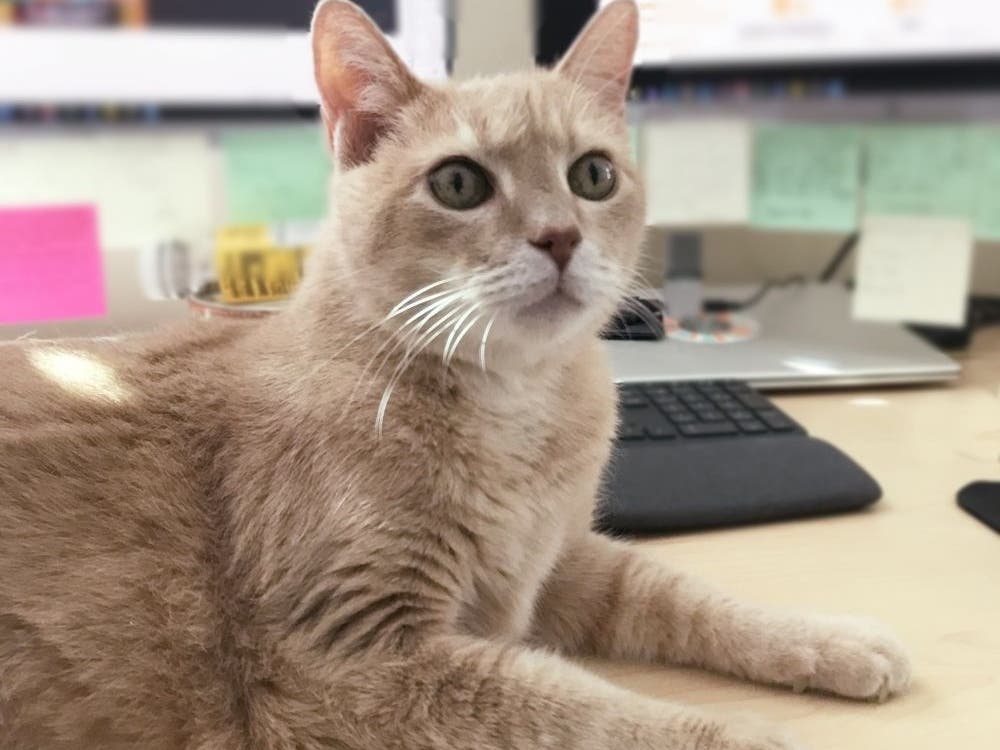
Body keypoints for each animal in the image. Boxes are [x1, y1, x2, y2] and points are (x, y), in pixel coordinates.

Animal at [0, 1, 912, 750]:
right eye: (459, 182)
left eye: (593, 174)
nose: (559, 237)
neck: (518, 411)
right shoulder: (354, 662)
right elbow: (583, 710)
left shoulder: (557, 565)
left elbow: (679, 592)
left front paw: (831, 640)